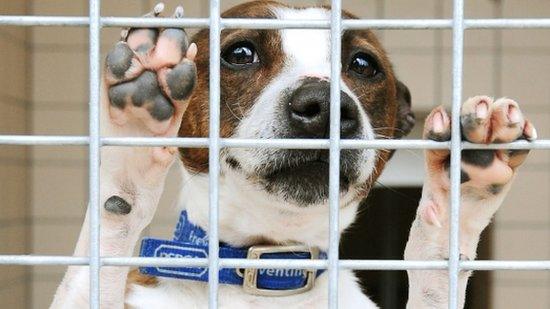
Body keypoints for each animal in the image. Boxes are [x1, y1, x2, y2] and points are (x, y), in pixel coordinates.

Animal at [50, 1, 540, 306]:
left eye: (364, 64)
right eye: (240, 53)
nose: (325, 106)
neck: (273, 268)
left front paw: (458, 201)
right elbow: (106, 235)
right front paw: (131, 147)